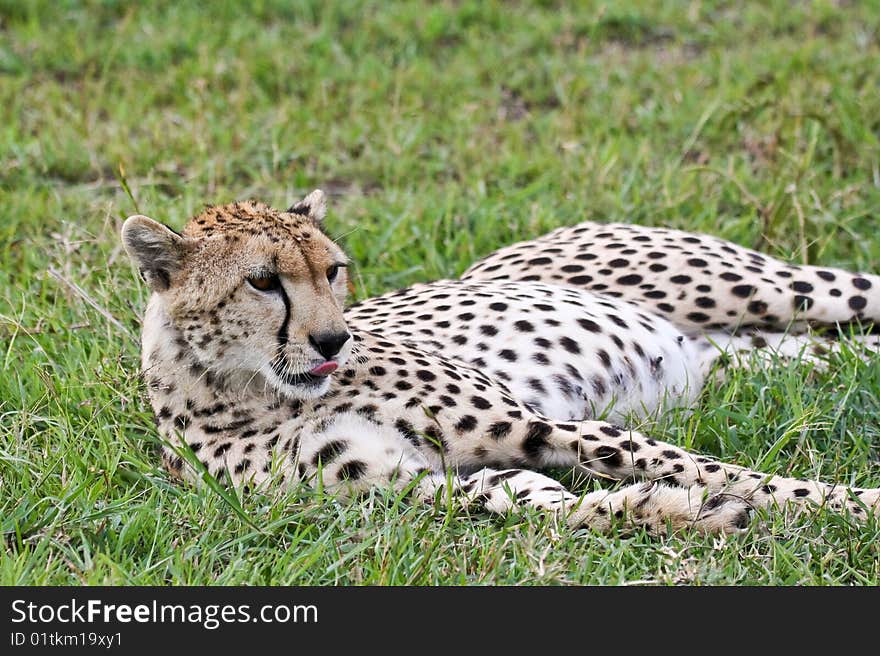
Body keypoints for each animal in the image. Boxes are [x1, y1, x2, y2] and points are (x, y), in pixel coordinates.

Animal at [122, 187, 880, 536]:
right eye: (262, 281)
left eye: (331, 271)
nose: (335, 340)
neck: (252, 391)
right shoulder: (408, 486)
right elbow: (548, 503)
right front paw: (674, 512)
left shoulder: (543, 425)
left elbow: (733, 471)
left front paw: (857, 505)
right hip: (752, 352)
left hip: (767, 287)